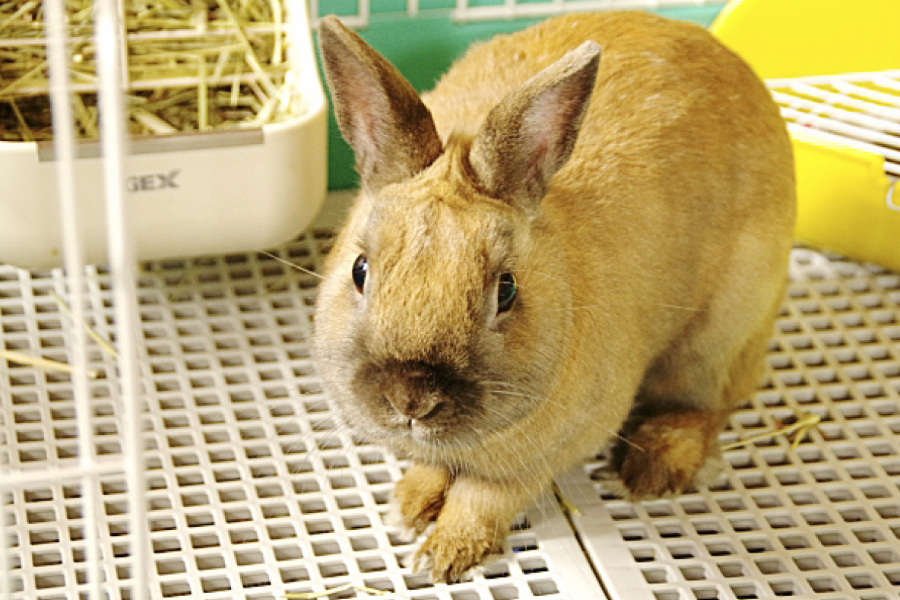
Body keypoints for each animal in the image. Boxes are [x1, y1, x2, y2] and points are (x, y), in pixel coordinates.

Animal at [314, 10, 796, 580]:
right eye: (360, 270)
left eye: (506, 290)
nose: (411, 400)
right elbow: (434, 468)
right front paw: (410, 505)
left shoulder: (537, 460)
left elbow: (483, 499)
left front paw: (445, 554)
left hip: (716, 338)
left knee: (713, 403)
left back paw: (650, 469)